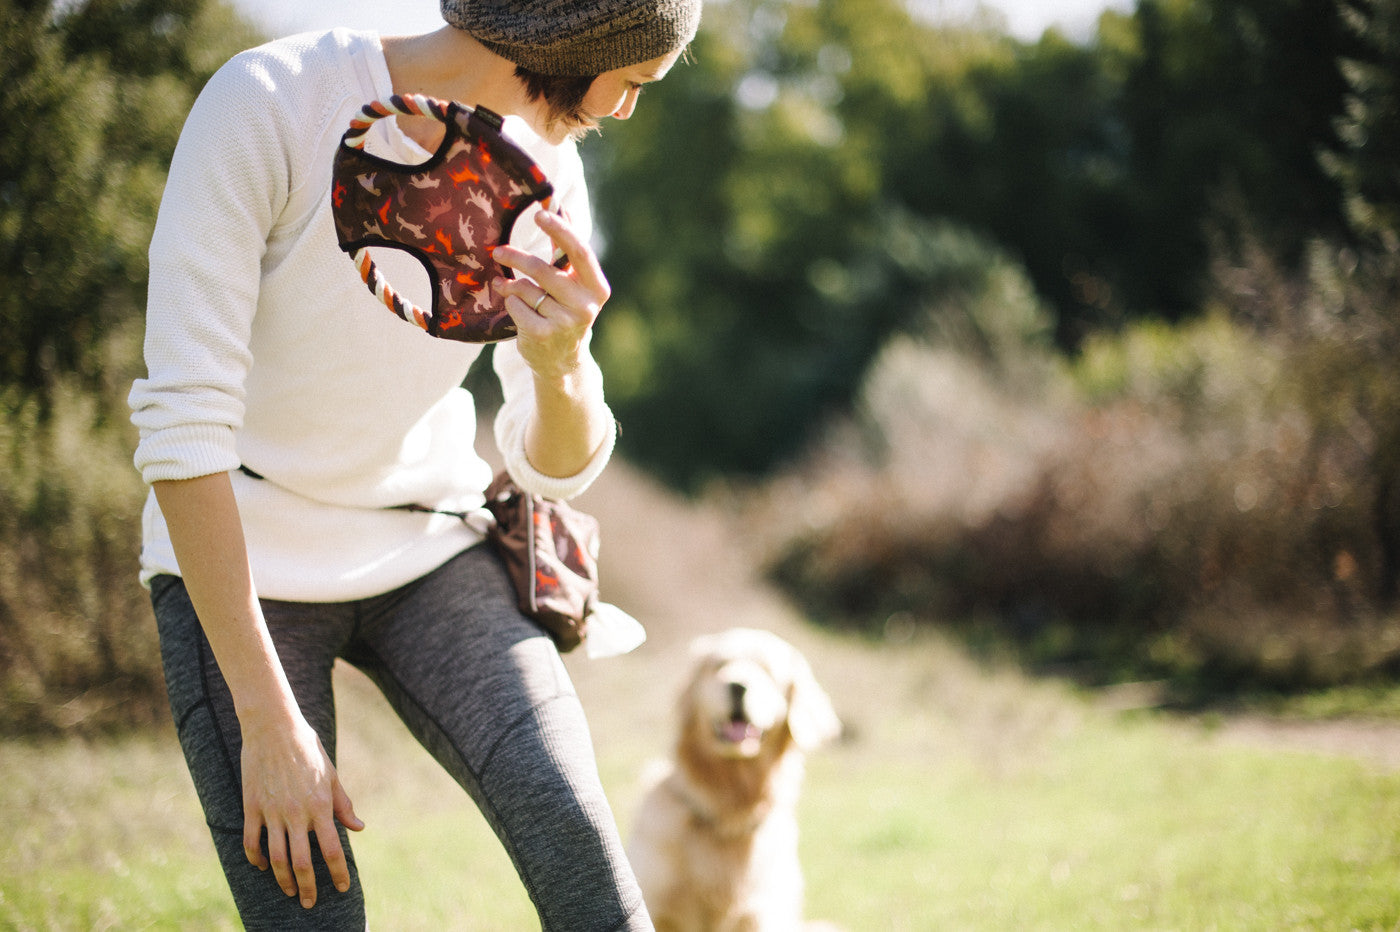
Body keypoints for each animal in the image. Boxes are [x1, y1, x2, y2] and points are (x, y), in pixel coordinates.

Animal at [632, 624, 840, 929]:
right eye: (719, 666)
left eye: (766, 671)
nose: (737, 686)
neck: (727, 812)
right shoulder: (655, 904)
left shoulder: (759, 916)